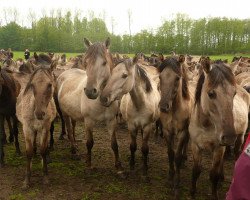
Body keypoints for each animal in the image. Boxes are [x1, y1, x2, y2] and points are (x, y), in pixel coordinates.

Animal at [189, 57, 250, 198]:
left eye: (234, 93)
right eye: (211, 93)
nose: (229, 137)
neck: (205, 126)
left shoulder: (218, 148)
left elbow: (213, 175)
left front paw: (214, 194)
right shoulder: (195, 145)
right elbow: (196, 171)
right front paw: (192, 193)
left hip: (240, 137)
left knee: (236, 154)